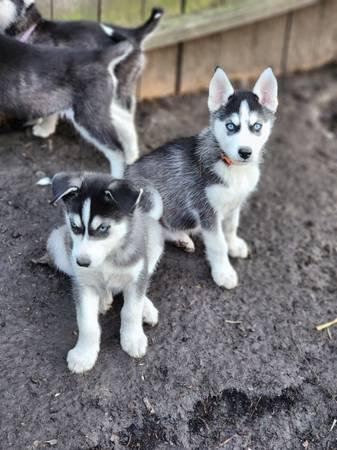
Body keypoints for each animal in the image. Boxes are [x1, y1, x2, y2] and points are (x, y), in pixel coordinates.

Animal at [46, 172, 163, 372]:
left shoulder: (136, 273)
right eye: (75, 226)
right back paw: (104, 299)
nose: (81, 262)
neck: (107, 258)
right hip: (58, 244)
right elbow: (87, 322)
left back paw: (145, 308)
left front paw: (132, 338)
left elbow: (131, 310)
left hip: (154, 241)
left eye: (102, 228)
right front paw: (84, 354)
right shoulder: (82, 283)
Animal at [126, 68, 278, 290]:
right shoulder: (207, 210)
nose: (245, 152)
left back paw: (181, 238)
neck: (232, 167)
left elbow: (231, 226)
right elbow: (218, 244)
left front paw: (234, 245)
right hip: (153, 198)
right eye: (231, 126)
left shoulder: (235, 202)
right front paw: (224, 273)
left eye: (256, 126)